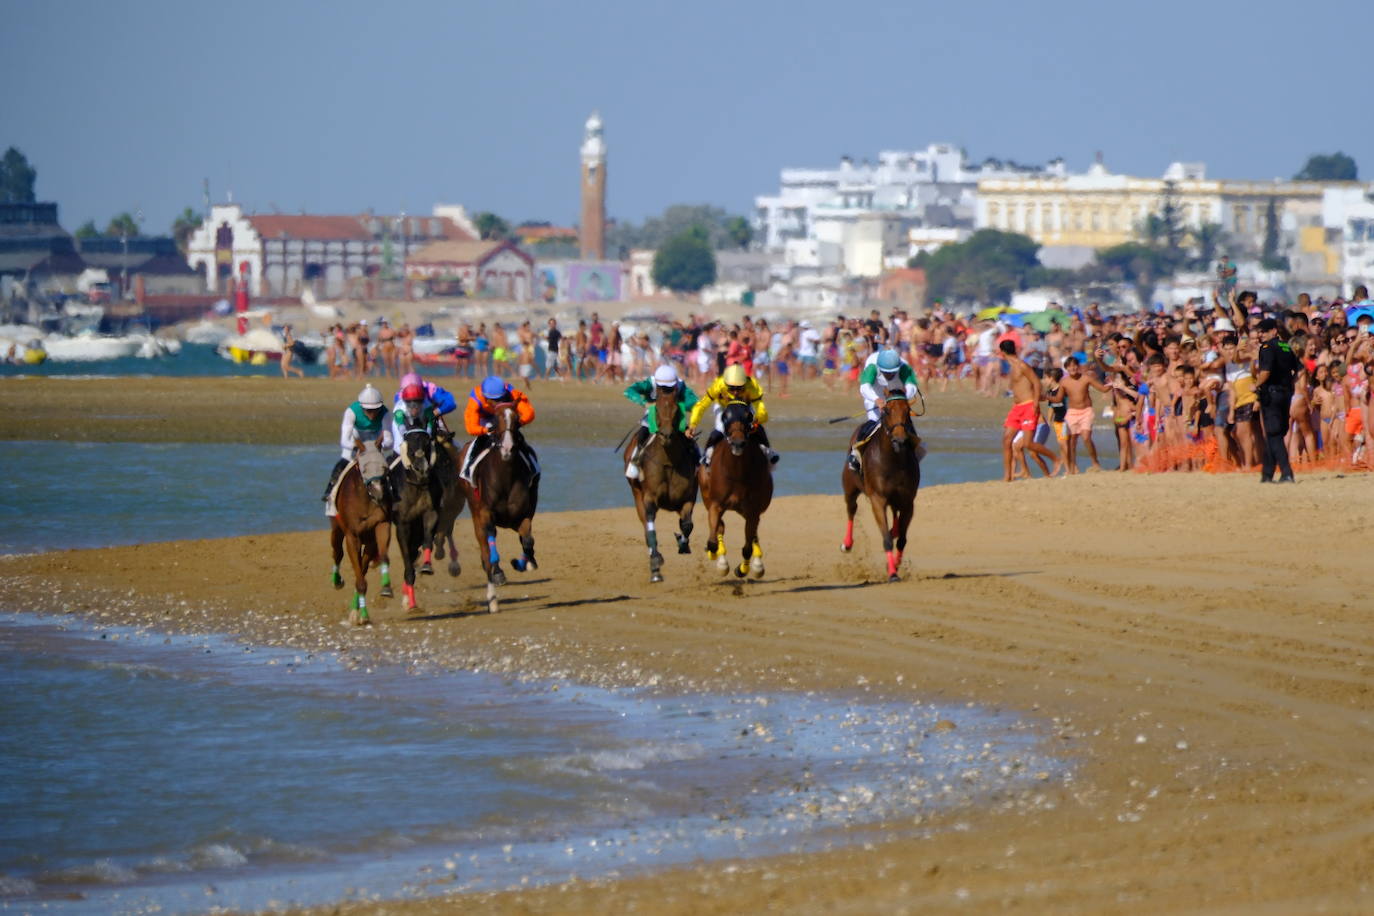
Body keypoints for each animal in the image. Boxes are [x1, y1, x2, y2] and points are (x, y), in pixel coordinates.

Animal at [329, 436, 395, 623]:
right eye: (364, 468)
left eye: (384, 467)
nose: (379, 493)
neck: (365, 500)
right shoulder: (352, 536)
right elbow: (358, 576)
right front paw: (362, 615)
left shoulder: (381, 525)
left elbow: (383, 556)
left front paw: (386, 588)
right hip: (337, 528)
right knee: (337, 553)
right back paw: (337, 581)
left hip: (369, 542)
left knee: (363, 567)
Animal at [458, 403, 538, 612]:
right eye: (495, 418)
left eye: (517, 419)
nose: (508, 448)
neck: (506, 476)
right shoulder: (486, 514)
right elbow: (490, 543)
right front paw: (497, 571)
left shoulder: (523, 515)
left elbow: (528, 541)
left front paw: (521, 563)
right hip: (475, 513)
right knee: (485, 551)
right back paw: (493, 596)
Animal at [629, 392, 703, 579]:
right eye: (657, 408)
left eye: (677, 409)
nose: (666, 435)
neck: (669, 462)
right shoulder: (649, 497)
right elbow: (649, 523)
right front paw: (655, 563)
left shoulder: (688, 497)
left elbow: (687, 525)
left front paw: (682, 543)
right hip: (636, 493)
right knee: (645, 523)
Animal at [697, 403, 774, 576]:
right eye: (725, 416)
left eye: (749, 417)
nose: (738, 443)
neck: (737, 472)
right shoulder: (715, 504)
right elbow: (713, 540)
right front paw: (717, 557)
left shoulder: (752, 510)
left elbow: (747, 548)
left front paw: (743, 569)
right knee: (720, 528)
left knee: (753, 535)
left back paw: (757, 565)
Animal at [835, 392, 923, 579]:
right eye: (887, 411)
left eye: (907, 410)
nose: (899, 439)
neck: (893, 461)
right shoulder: (877, 499)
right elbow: (887, 540)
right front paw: (892, 573)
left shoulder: (908, 501)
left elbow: (902, 540)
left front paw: (895, 565)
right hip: (850, 489)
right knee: (851, 510)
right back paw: (847, 544)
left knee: (895, 520)